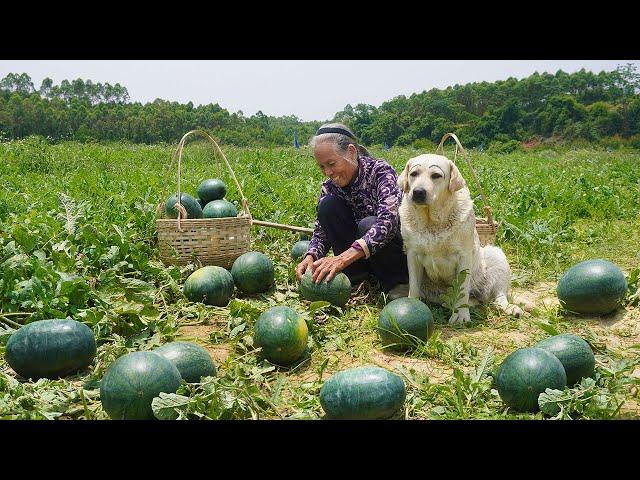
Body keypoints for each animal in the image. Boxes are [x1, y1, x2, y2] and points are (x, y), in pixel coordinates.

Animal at [398, 154, 524, 326]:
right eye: (414, 174)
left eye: (436, 175)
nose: (418, 192)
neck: (432, 222)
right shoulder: (412, 255)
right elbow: (414, 286)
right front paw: (411, 305)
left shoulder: (464, 255)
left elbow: (462, 289)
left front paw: (461, 315)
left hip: (494, 255)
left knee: (498, 297)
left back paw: (511, 308)